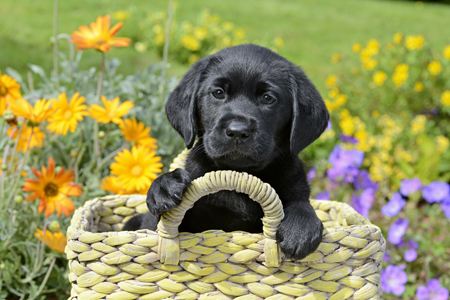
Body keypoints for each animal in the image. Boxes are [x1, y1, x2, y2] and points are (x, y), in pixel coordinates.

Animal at [125, 43, 328, 258]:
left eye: (268, 98)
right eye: (218, 93)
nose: (238, 131)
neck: (238, 173)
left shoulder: (297, 186)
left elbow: (300, 203)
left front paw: (300, 228)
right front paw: (164, 185)